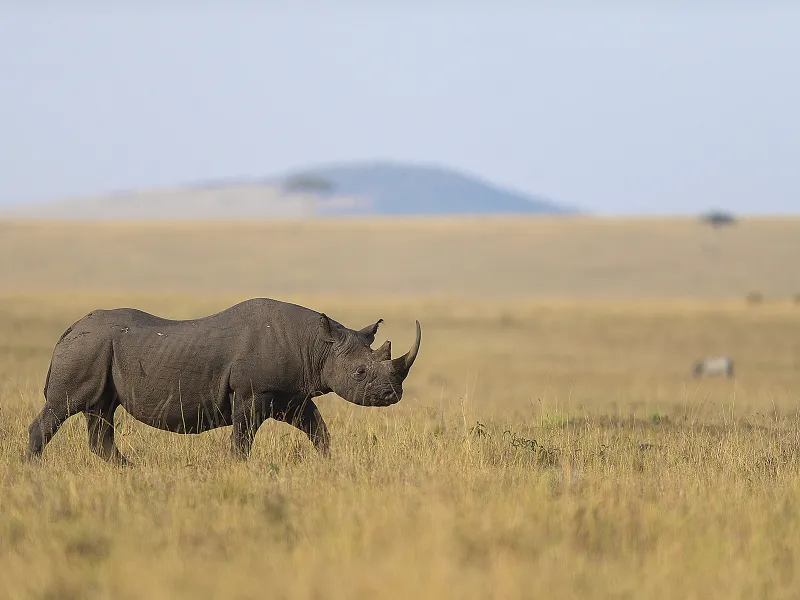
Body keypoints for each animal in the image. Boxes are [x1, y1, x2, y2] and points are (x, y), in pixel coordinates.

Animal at [27, 298, 421, 464]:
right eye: (360, 373)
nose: (392, 395)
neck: (317, 346)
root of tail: (69, 330)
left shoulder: (291, 396)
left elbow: (318, 430)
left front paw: (328, 464)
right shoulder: (251, 391)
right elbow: (242, 438)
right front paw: (239, 468)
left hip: (97, 350)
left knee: (101, 412)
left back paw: (128, 470)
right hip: (86, 347)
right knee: (64, 406)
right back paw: (33, 470)